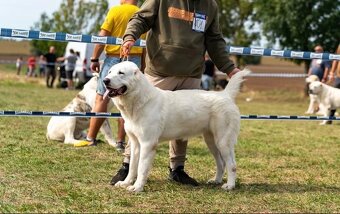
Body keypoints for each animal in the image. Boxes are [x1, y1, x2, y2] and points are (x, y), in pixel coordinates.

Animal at [102, 61, 248, 192]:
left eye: (121, 73)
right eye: (110, 72)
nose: (105, 80)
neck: (139, 100)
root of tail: (225, 94)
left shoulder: (147, 144)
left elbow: (141, 168)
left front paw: (137, 187)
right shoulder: (135, 143)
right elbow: (132, 166)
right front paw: (126, 183)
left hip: (223, 142)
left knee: (231, 165)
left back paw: (230, 186)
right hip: (211, 141)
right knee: (221, 163)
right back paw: (216, 180)